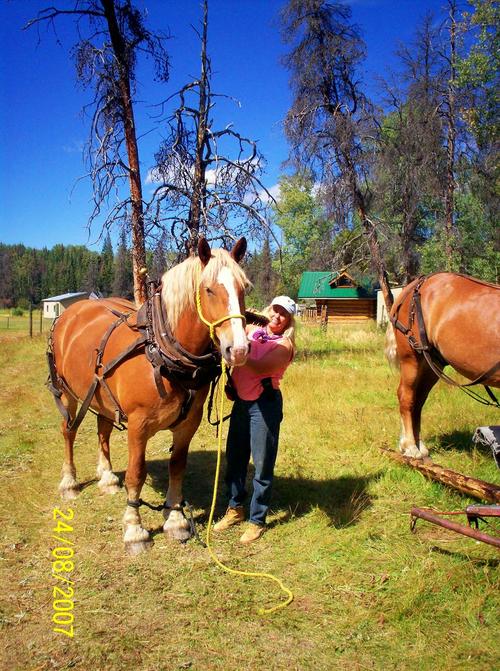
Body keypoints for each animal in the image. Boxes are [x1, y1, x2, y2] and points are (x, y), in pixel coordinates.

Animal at [48, 237, 250, 554]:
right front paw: (134, 529)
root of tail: (71, 312)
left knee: (103, 429)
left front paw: (176, 518)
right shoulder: (138, 425)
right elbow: (136, 473)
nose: (238, 350)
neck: (163, 350)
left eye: (244, 288)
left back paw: (107, 477)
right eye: (208, 289)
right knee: (69, 430)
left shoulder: (188, 423)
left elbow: (177, 466)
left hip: (101, 394)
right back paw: (69, 482)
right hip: (66, 390)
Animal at [386, 272, 500, 459]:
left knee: (418, 400)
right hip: (411, 357)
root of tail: (415, 284)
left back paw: (417, 444)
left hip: (432, 363)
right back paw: (410, 446)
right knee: (406, 396)